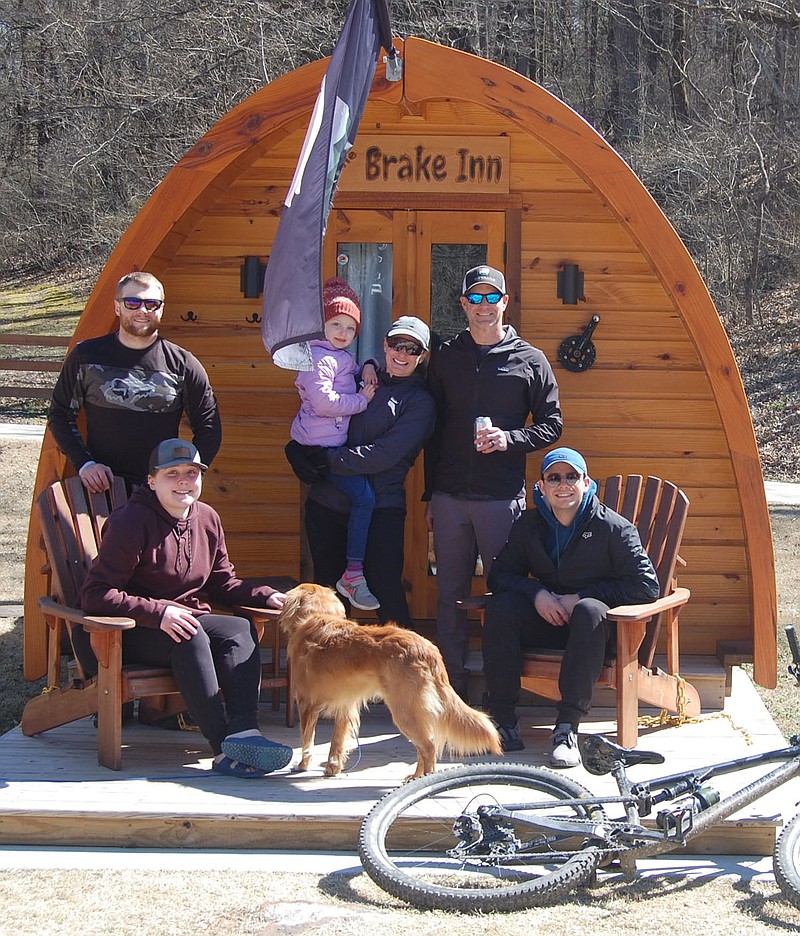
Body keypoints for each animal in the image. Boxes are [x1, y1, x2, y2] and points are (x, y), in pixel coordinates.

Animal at [276, 584, 500, 776]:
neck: (316, 616)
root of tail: (427, 648)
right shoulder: (345, 706)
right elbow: (337, 741)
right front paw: (333, 768)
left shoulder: (306, 703)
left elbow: (307, 739)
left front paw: (303, 765)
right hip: (412, 711)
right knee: (425, 746)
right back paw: (415, 777)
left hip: (404, 710)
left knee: (428, 747)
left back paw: (424, 779)